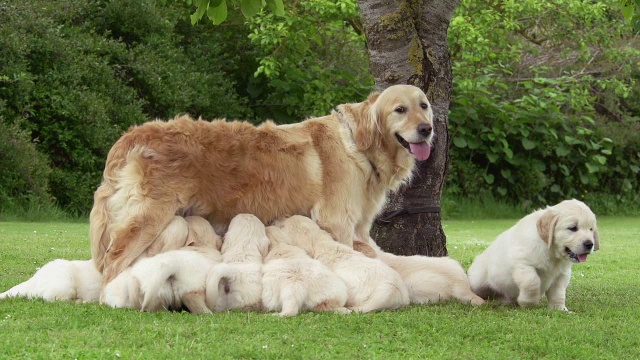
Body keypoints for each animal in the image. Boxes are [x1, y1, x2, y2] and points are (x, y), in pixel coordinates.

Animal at [464, 198, 600, 310]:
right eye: (572, 228)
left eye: (591, 229)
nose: (589, 244)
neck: (551, 253)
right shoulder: (522, 264)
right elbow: (532, 282)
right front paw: (528, 302)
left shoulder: (562, 274)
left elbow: (559, 292)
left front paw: (559, 308)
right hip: (477, 280)